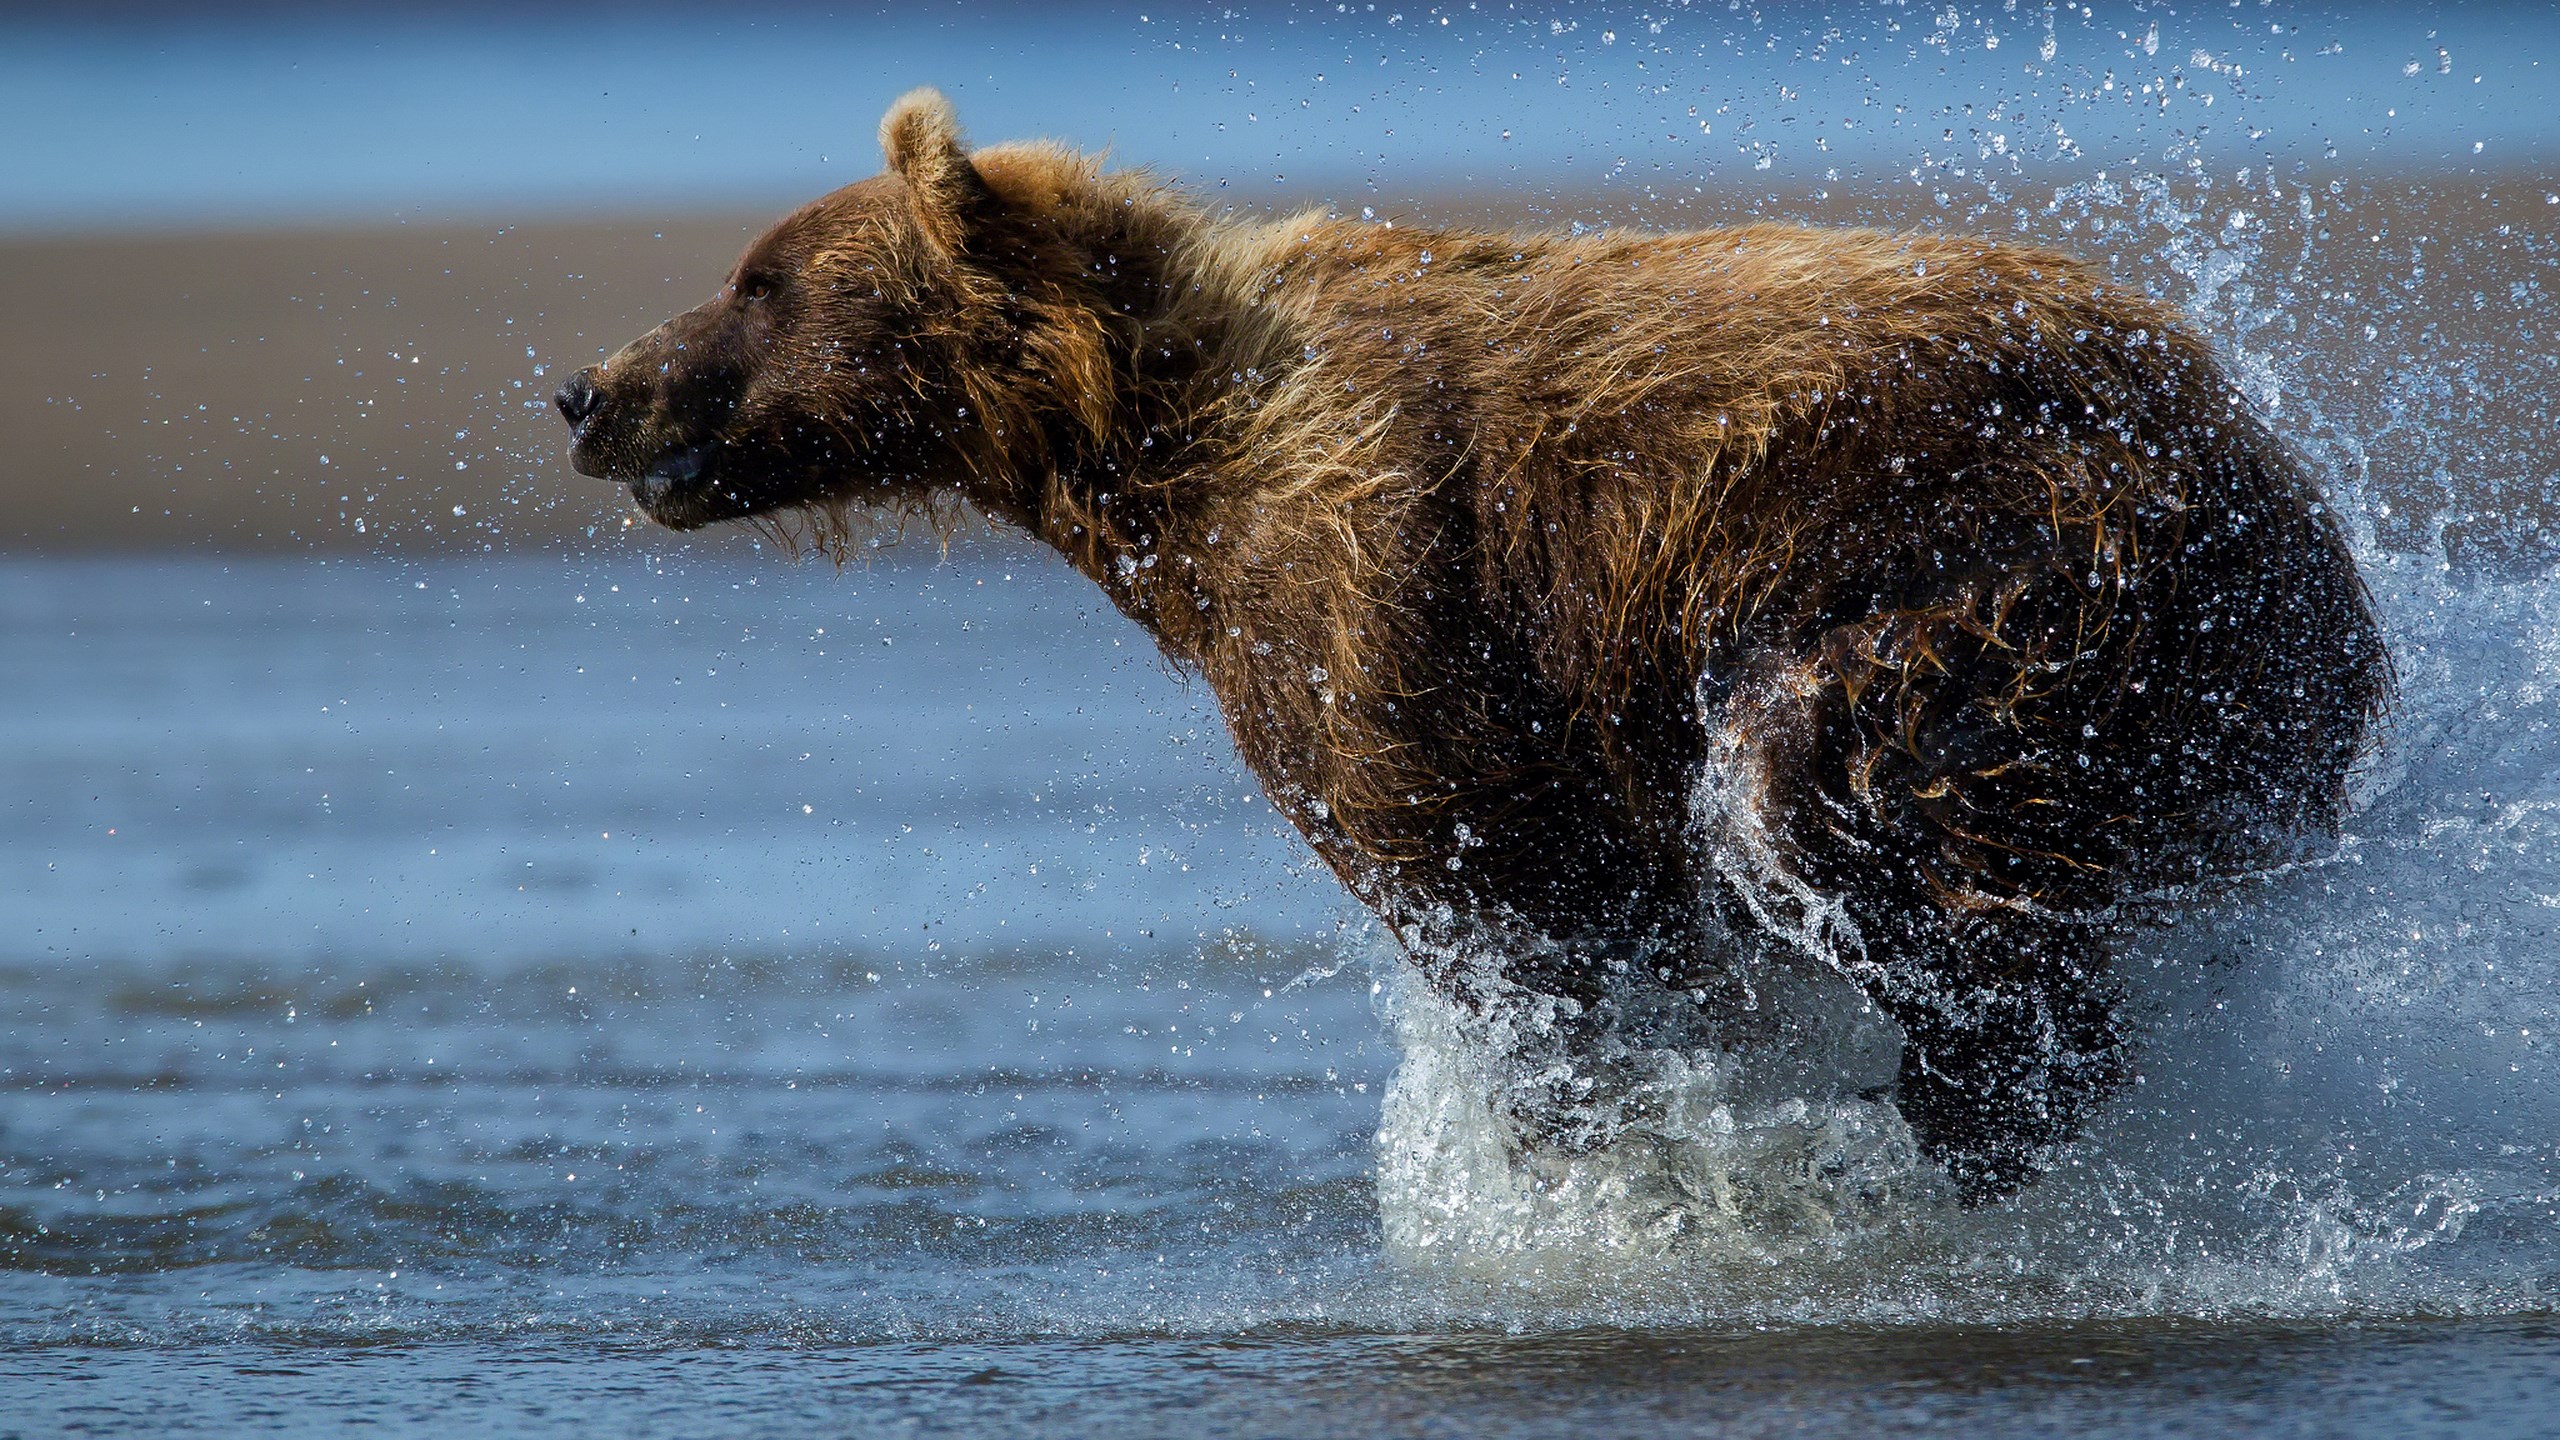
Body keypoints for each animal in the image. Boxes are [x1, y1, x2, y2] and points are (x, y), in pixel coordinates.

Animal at [556, 90, 2389, 1201]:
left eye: (762, 279)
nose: (587, 386)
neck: (1157, 456)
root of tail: (2277, 475)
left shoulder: (1381, 602)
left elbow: (1512, 909)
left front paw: (1595, 1163)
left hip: (2019, 579)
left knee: (1834, 796)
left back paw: (1957, 1103)